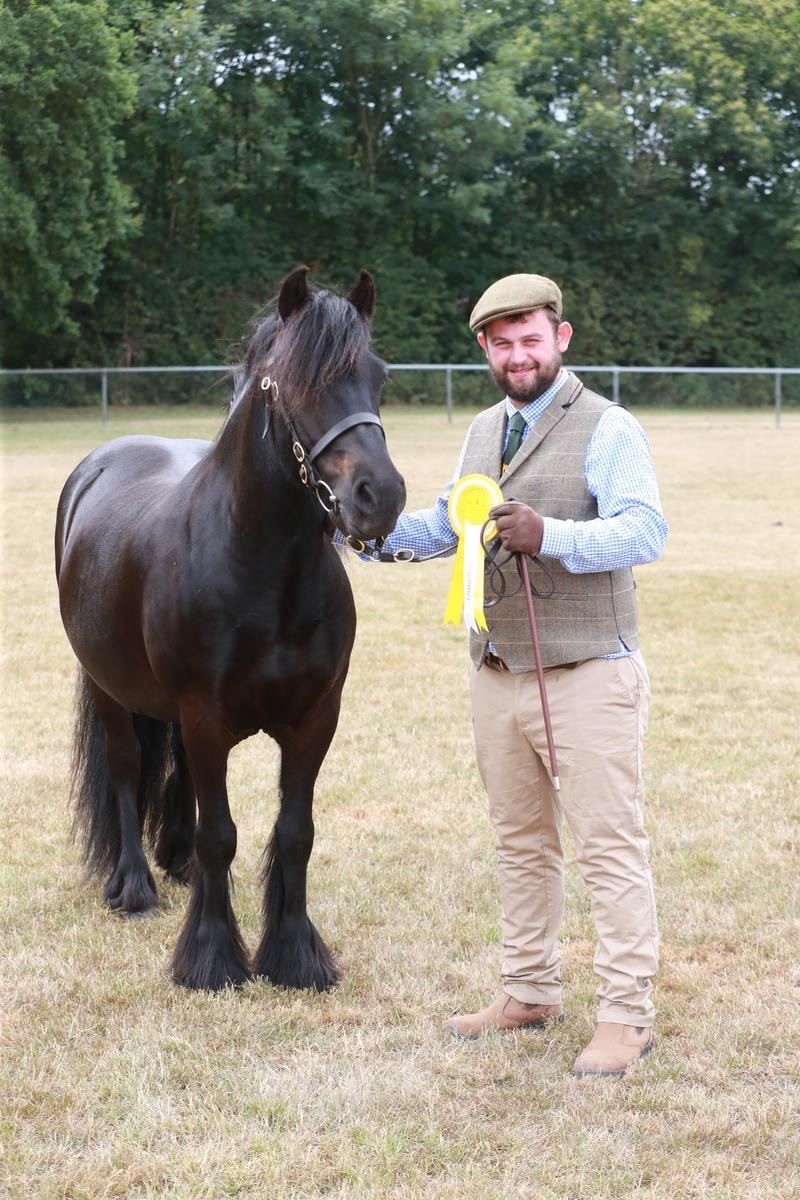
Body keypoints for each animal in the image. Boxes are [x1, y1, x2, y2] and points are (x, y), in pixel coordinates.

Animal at [54, 266, 406, 993]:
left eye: (379, 375)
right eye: (292, 382)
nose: (378, 496)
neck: (263, 574)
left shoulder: (314, 718)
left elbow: (295, 832)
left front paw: (295, 955)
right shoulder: (206, 715)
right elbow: (221, 832)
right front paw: (212, 958)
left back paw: (178, 864)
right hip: (111, 689)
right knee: (127, 769)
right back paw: (134, 887)